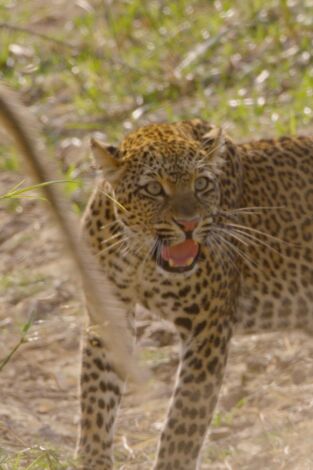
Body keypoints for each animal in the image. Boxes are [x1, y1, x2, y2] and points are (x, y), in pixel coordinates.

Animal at [77, 118, 312, 470]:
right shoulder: (107, 315)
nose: (189, 224)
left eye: (201, 183)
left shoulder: (208, 328)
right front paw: (92, 460)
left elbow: (183, 423)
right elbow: (95, 401)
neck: (142, 257)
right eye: (154, 188)